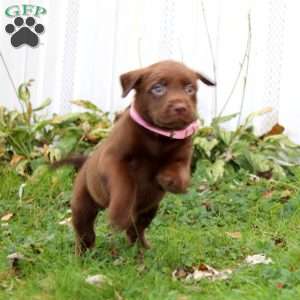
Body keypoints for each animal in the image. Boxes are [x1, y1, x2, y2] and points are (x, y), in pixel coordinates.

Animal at [66, 59, 214, 254]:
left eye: (190, 89)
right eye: (158, 88)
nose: (181, 107)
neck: (159, 136)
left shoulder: (182, 157)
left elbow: (179, 172)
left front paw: (170, 181)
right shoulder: (112, 159)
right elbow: (125, 182)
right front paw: (119, 215)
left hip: (149, 210)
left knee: (136, 229)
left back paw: (142, 247)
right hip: (83, 202)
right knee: (85, 231)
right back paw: (82, 254)